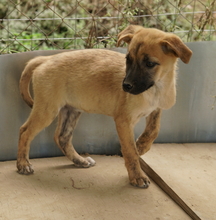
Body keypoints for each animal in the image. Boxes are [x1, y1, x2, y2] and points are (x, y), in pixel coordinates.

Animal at [17, 25, 192, 187]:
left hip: (71, 110)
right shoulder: (123, 121)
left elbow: (153, 130)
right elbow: (130, 151)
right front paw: (137, 176)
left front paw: (142, 146)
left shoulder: (155, 109)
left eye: (150, 64)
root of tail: (45, 59)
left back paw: (79, 161)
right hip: (47, 109)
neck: (156, 88)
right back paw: (23, 164)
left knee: (62, 137)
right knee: (25, 131)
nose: (126, 86)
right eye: (128, 59)